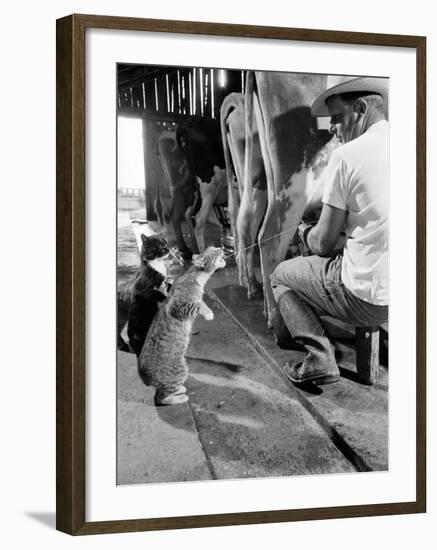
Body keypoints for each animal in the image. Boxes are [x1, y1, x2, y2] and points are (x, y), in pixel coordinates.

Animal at [139, 248, 228, 408]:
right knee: (161, 398)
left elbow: (199, 302)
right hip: (180, 371)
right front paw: (208, 313)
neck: (195, 276)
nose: (222, 248)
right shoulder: (178, 306)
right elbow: (198, 304)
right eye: (214, 250)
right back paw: (180, 397)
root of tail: (144, 377)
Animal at [232, 71, 338, 326]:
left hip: (259, 182)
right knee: (269, 239)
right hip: (294, 185)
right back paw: (276, 317)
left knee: (246, 223)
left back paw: (253, 289)